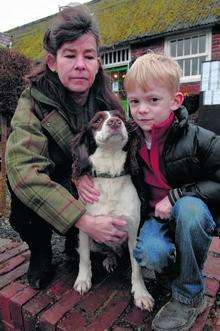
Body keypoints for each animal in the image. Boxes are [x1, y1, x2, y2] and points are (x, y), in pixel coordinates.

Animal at [71, 109, 154, 312]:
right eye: (97, 120)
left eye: (121, 117)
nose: (115, 122)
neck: (110, 175)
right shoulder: (85, 229)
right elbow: (84, 257)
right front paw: (83, 280)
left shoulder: (133, 231)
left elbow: (136, 267)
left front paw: (141, 294)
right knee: (105, 251)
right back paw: (109, 259)